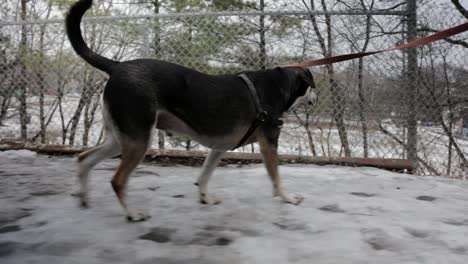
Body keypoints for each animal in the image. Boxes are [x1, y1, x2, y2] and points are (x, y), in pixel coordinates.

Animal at [66, 0, 316, 221]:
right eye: (313, 86)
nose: (317, 98)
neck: (278, 83)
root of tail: (117, 66)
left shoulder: (220, 147)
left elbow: (204, 175)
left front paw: (205, 198)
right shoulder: (269, 143)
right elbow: (276, 178)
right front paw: (288, 198)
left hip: (120, 139)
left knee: (84, 158)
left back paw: (84, 197)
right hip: (138, 140)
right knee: (117, 181)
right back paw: (132, 214)